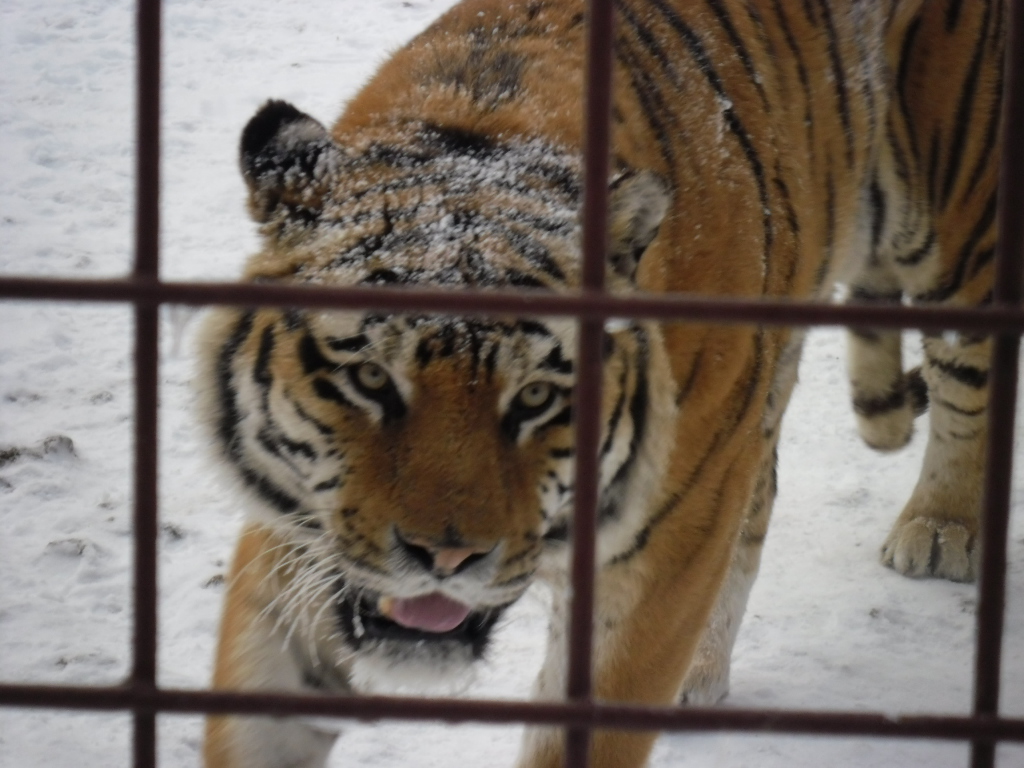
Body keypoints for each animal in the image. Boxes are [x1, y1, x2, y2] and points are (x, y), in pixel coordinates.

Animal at [198, 0, 1005, 766]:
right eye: (367, 377)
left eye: (535, 396)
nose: (446, 559)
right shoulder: (296, 531)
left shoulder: (657, 558)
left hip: (953, 226)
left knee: (969, 386)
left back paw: (943, 528)